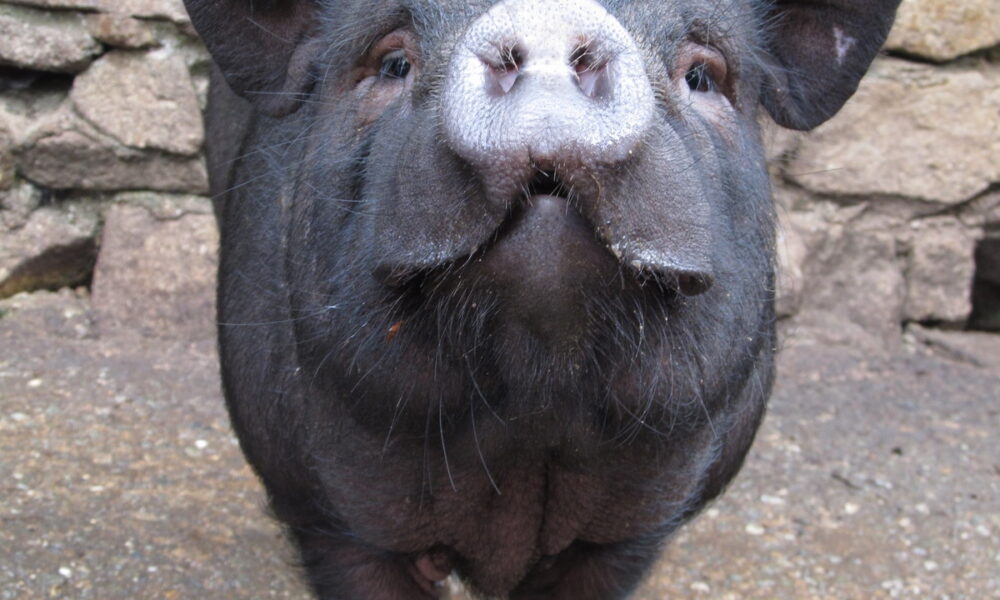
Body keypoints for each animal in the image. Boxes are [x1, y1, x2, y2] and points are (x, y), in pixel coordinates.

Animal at [183, 0, 900, 598]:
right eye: (391, 62)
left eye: (702, 75)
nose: (548, 16)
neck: (531, 413)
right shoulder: (326, 519)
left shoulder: (629, 534)